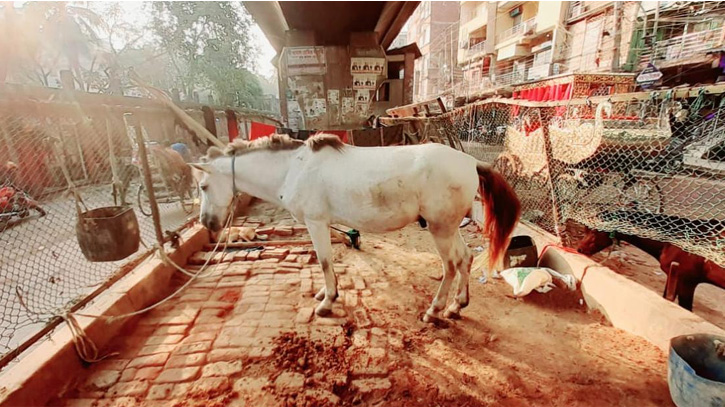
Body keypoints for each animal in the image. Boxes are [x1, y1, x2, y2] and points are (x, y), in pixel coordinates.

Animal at [191, 134, 520, 322]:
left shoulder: (316, 223)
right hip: (450, 228)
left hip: (440, 229)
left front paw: (327, 302)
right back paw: (456, 306)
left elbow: (324, 262)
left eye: (203, 186)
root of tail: (471, 162)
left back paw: (435, 310)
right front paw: (324, 295)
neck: (293, 168)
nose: (207, 224)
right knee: (465, 259)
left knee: (451, 266)